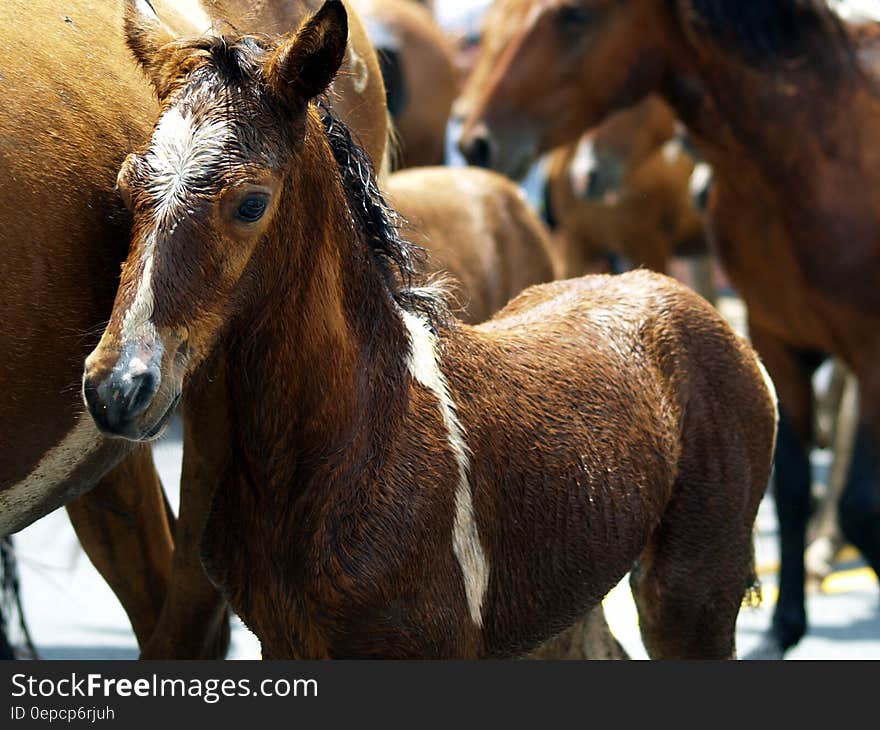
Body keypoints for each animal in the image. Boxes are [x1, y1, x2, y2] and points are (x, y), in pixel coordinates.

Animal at [86, 0, 776, 660]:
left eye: (251, 203)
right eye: (125, 187)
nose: (118, 386)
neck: (361, 431)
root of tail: (676, 294)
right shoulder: (284, 641)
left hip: (693, 597)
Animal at [458, 0, 880, 656]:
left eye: (573, 16)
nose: (478, 142)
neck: (815, 154)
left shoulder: (869, 348)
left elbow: (862, 502)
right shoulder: (778, 337)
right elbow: (789, 490)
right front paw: (784, 626)